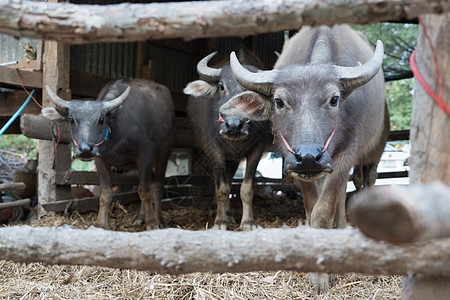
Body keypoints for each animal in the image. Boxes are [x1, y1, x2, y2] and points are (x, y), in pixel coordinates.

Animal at [183, 51, 270, 230]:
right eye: (221, 86)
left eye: (250, 94)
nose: (234, 125)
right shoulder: (215, 152)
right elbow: (222, 189)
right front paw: (220, 222)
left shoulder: (256, 151)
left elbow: (246, 188)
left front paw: (248, 222)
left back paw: (230, 215)